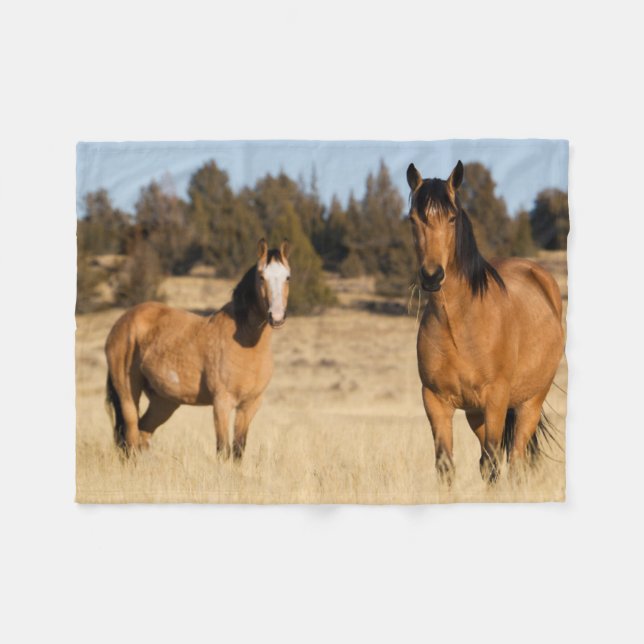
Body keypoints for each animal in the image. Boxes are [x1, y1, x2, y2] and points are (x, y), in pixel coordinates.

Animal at [104, 238, 291, 461]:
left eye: (287, 277)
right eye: (261, 277)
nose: (277, 317)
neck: (246, 341)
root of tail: (122, 322)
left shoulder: (249, 405)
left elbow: (238, 450)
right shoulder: (222, 403)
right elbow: (223, 450)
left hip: (163, 402)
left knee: (142, 433)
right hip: (127, 393)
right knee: (131, 437)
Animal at [406, 161, 564, 484]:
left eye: (452, 218)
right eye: (413, 219)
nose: (432, 276)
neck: (459, 324)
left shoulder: (496, 400)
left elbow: (493, 463)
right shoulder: (436, 401)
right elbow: (446, 465)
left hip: (529, 402)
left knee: (514, 461)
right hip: (475, 413)